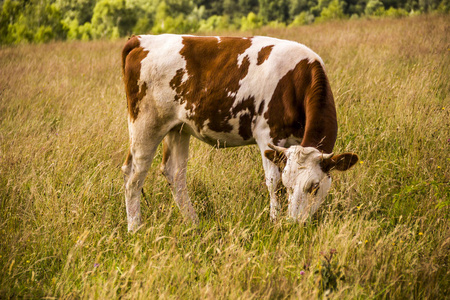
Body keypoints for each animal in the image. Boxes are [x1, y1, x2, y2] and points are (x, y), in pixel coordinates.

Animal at [120, 34, 358, 232]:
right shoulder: (267, 135)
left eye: (315, 187)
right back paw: (135, 229)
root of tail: (141, 40)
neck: (296, 78)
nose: (295, 223)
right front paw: (274, 221)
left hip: (177, 129)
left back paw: (193, 223)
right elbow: (274, 183)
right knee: (134, 175)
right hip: (146, 124)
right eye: (290, 186)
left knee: (175, 174)